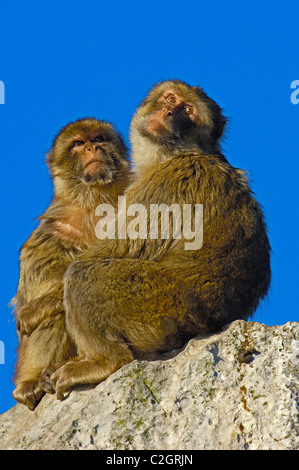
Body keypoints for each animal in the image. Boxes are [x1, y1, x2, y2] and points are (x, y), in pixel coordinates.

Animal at [12, 118, 131, 412]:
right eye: (78, 143)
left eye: (99, 138)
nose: (92, 147)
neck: (97, 202)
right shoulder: (54, 225)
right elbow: (39, 276)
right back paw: (32, 380)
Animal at [41, 81, 274, 400]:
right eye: (171, 98)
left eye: (187, 111)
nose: (170, 111)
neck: (174, 156)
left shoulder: (169, 181)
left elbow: (108, 252)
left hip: (161, 303)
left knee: (84, 276)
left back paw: (104, 362)